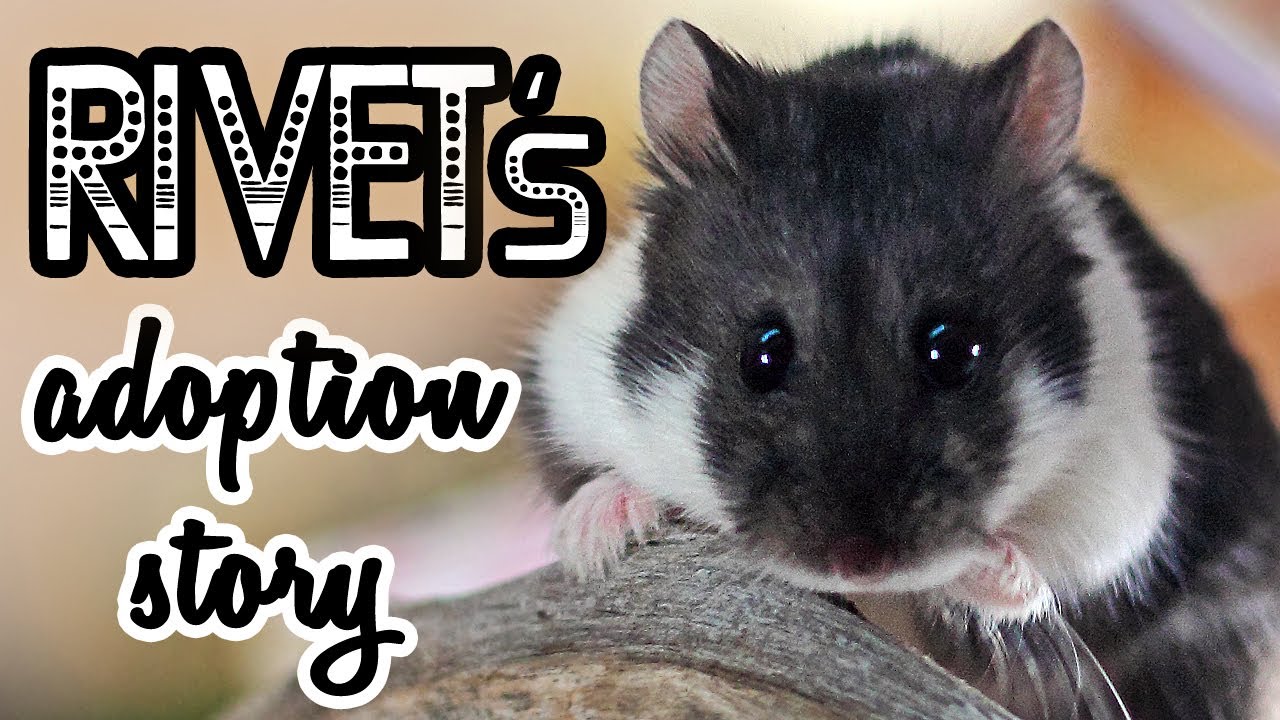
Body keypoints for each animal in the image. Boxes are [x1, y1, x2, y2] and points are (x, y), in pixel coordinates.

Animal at [521, 18, 1280, 720]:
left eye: (954, 351)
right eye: (761, 354)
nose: (859, 563)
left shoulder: (1128, 473)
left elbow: (1059, 569)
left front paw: (991, 572)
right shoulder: (568, 378)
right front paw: (595, 539)